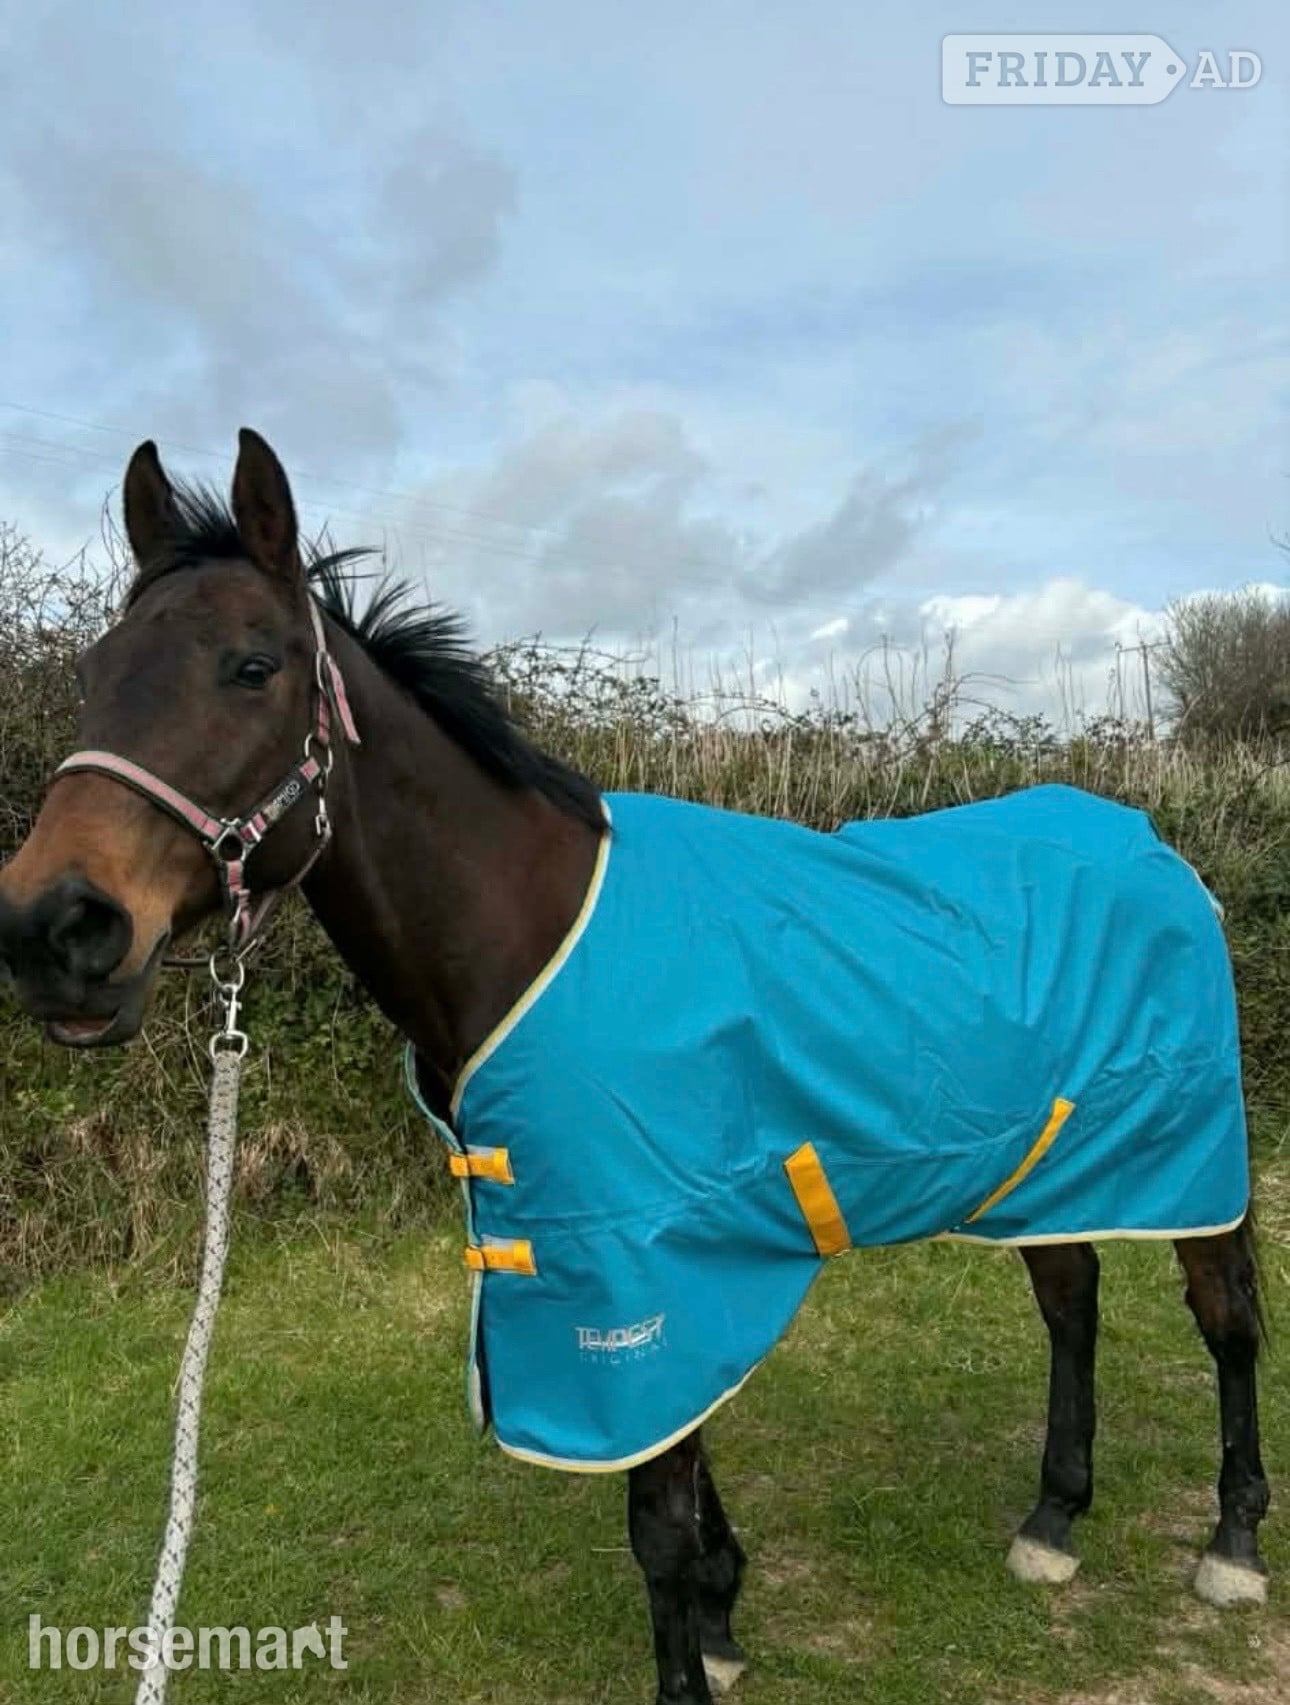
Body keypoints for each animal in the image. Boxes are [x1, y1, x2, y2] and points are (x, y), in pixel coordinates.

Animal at [0, 430, 1269, 1705]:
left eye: (252, 667)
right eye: (96, 670)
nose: (55, 929)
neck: (527, 934)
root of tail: (1155, 849)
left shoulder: (647, 1255)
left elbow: (654, 1514)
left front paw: (693, 1653)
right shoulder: (635, 1259)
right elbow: (679, 1464)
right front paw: (721, 1612)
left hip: (1186, 1152)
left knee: (1225, 1317)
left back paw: (1233, 1545)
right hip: (1050, 1161)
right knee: (1073, 1299)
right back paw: (1054, 1520)